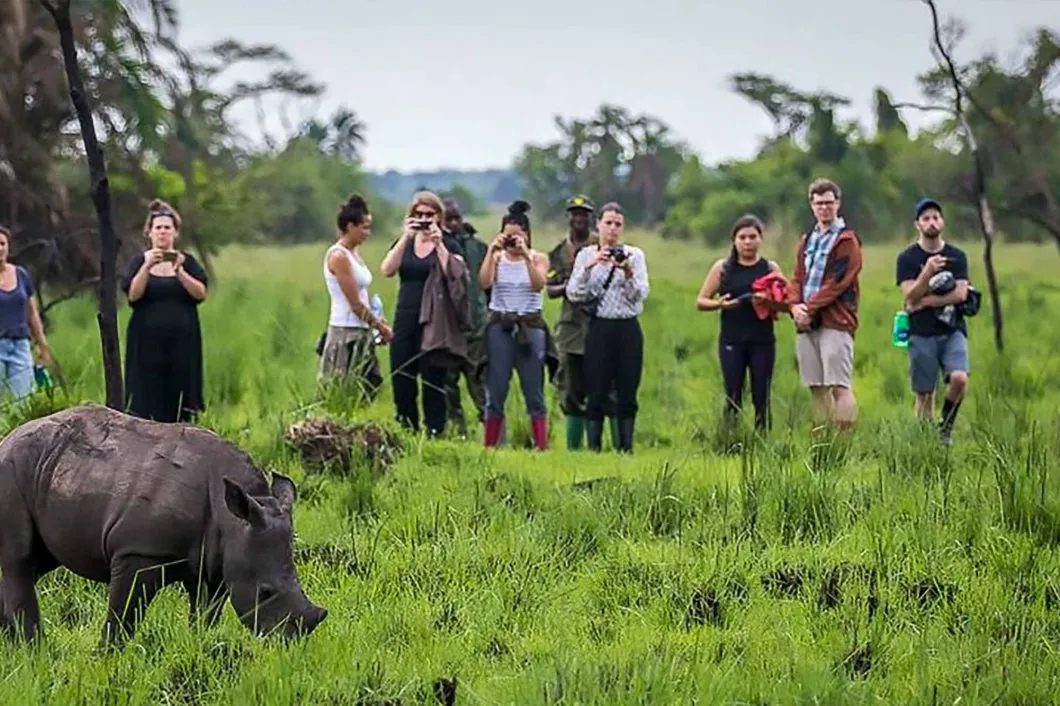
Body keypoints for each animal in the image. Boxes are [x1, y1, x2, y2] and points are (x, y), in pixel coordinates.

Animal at [0, 404, 326, 644]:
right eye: (265, 592)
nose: (290, 642)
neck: (232, 520)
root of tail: (7, 438)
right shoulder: (138, 552)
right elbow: (123, 616)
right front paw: (107, 657)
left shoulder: (213, 563)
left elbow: (205, 615)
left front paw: (201, 647)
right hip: (11, 472)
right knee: (20, 560)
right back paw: (35, 652)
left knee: (36, 563)